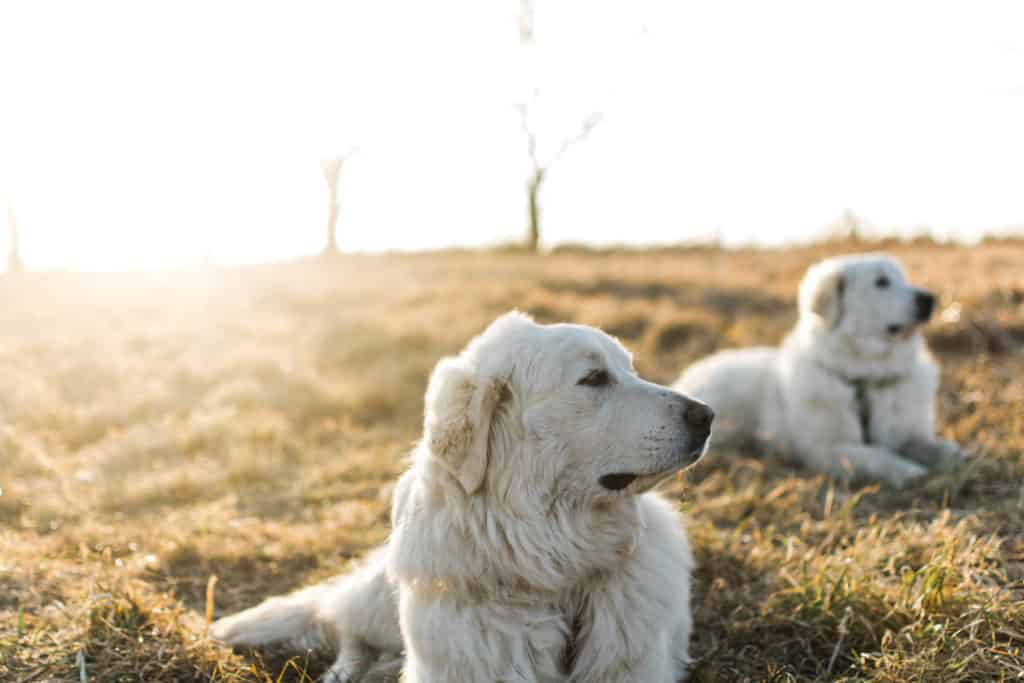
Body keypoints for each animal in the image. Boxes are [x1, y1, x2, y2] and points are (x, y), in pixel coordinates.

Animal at [212, 313, 716, 683]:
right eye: (593, 378)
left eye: (631, 369)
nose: (707, 415)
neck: (551, 575)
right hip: (383, 601)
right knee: (346, 625)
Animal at [675, 253, 962, 489]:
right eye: (881, 282)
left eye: (904, 278)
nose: (929, 299)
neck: (868, 374)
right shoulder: (826, 447)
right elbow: (877, 454)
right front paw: (909, 471)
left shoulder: (908, 433)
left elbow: (939, 447)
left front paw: (958, 458)